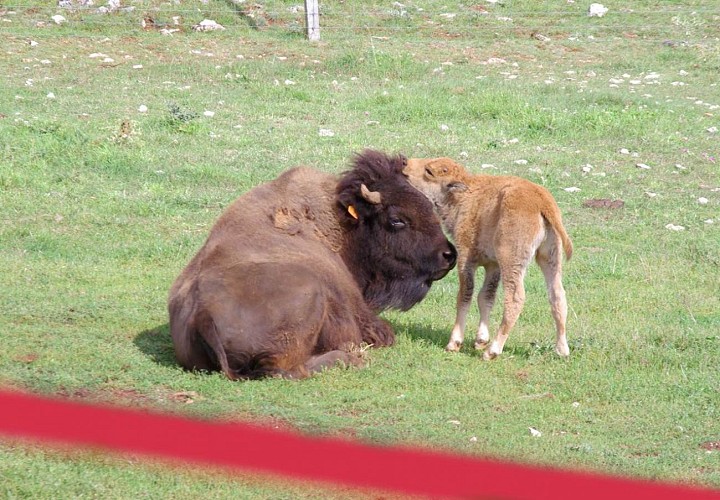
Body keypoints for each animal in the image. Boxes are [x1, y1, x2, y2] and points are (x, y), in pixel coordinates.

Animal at [169, 148, 456, 378]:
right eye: (398, 220)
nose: (448, 255)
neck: (343, 223)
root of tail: (203, 315)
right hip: (311, 298)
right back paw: (350, 358)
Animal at [402, 156, 572, 360]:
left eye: (429, 171)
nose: (404, 163)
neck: (465, 195)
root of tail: (542, 201)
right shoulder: (493, 265)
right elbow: (486, 297)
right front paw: (480, 340)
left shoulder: (466, 258)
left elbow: (465, 294)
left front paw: (455, 343)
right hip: (550, 258)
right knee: (557, 295)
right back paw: (562, 350)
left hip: (511, 259)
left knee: (515, 298)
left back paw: (492, 351)